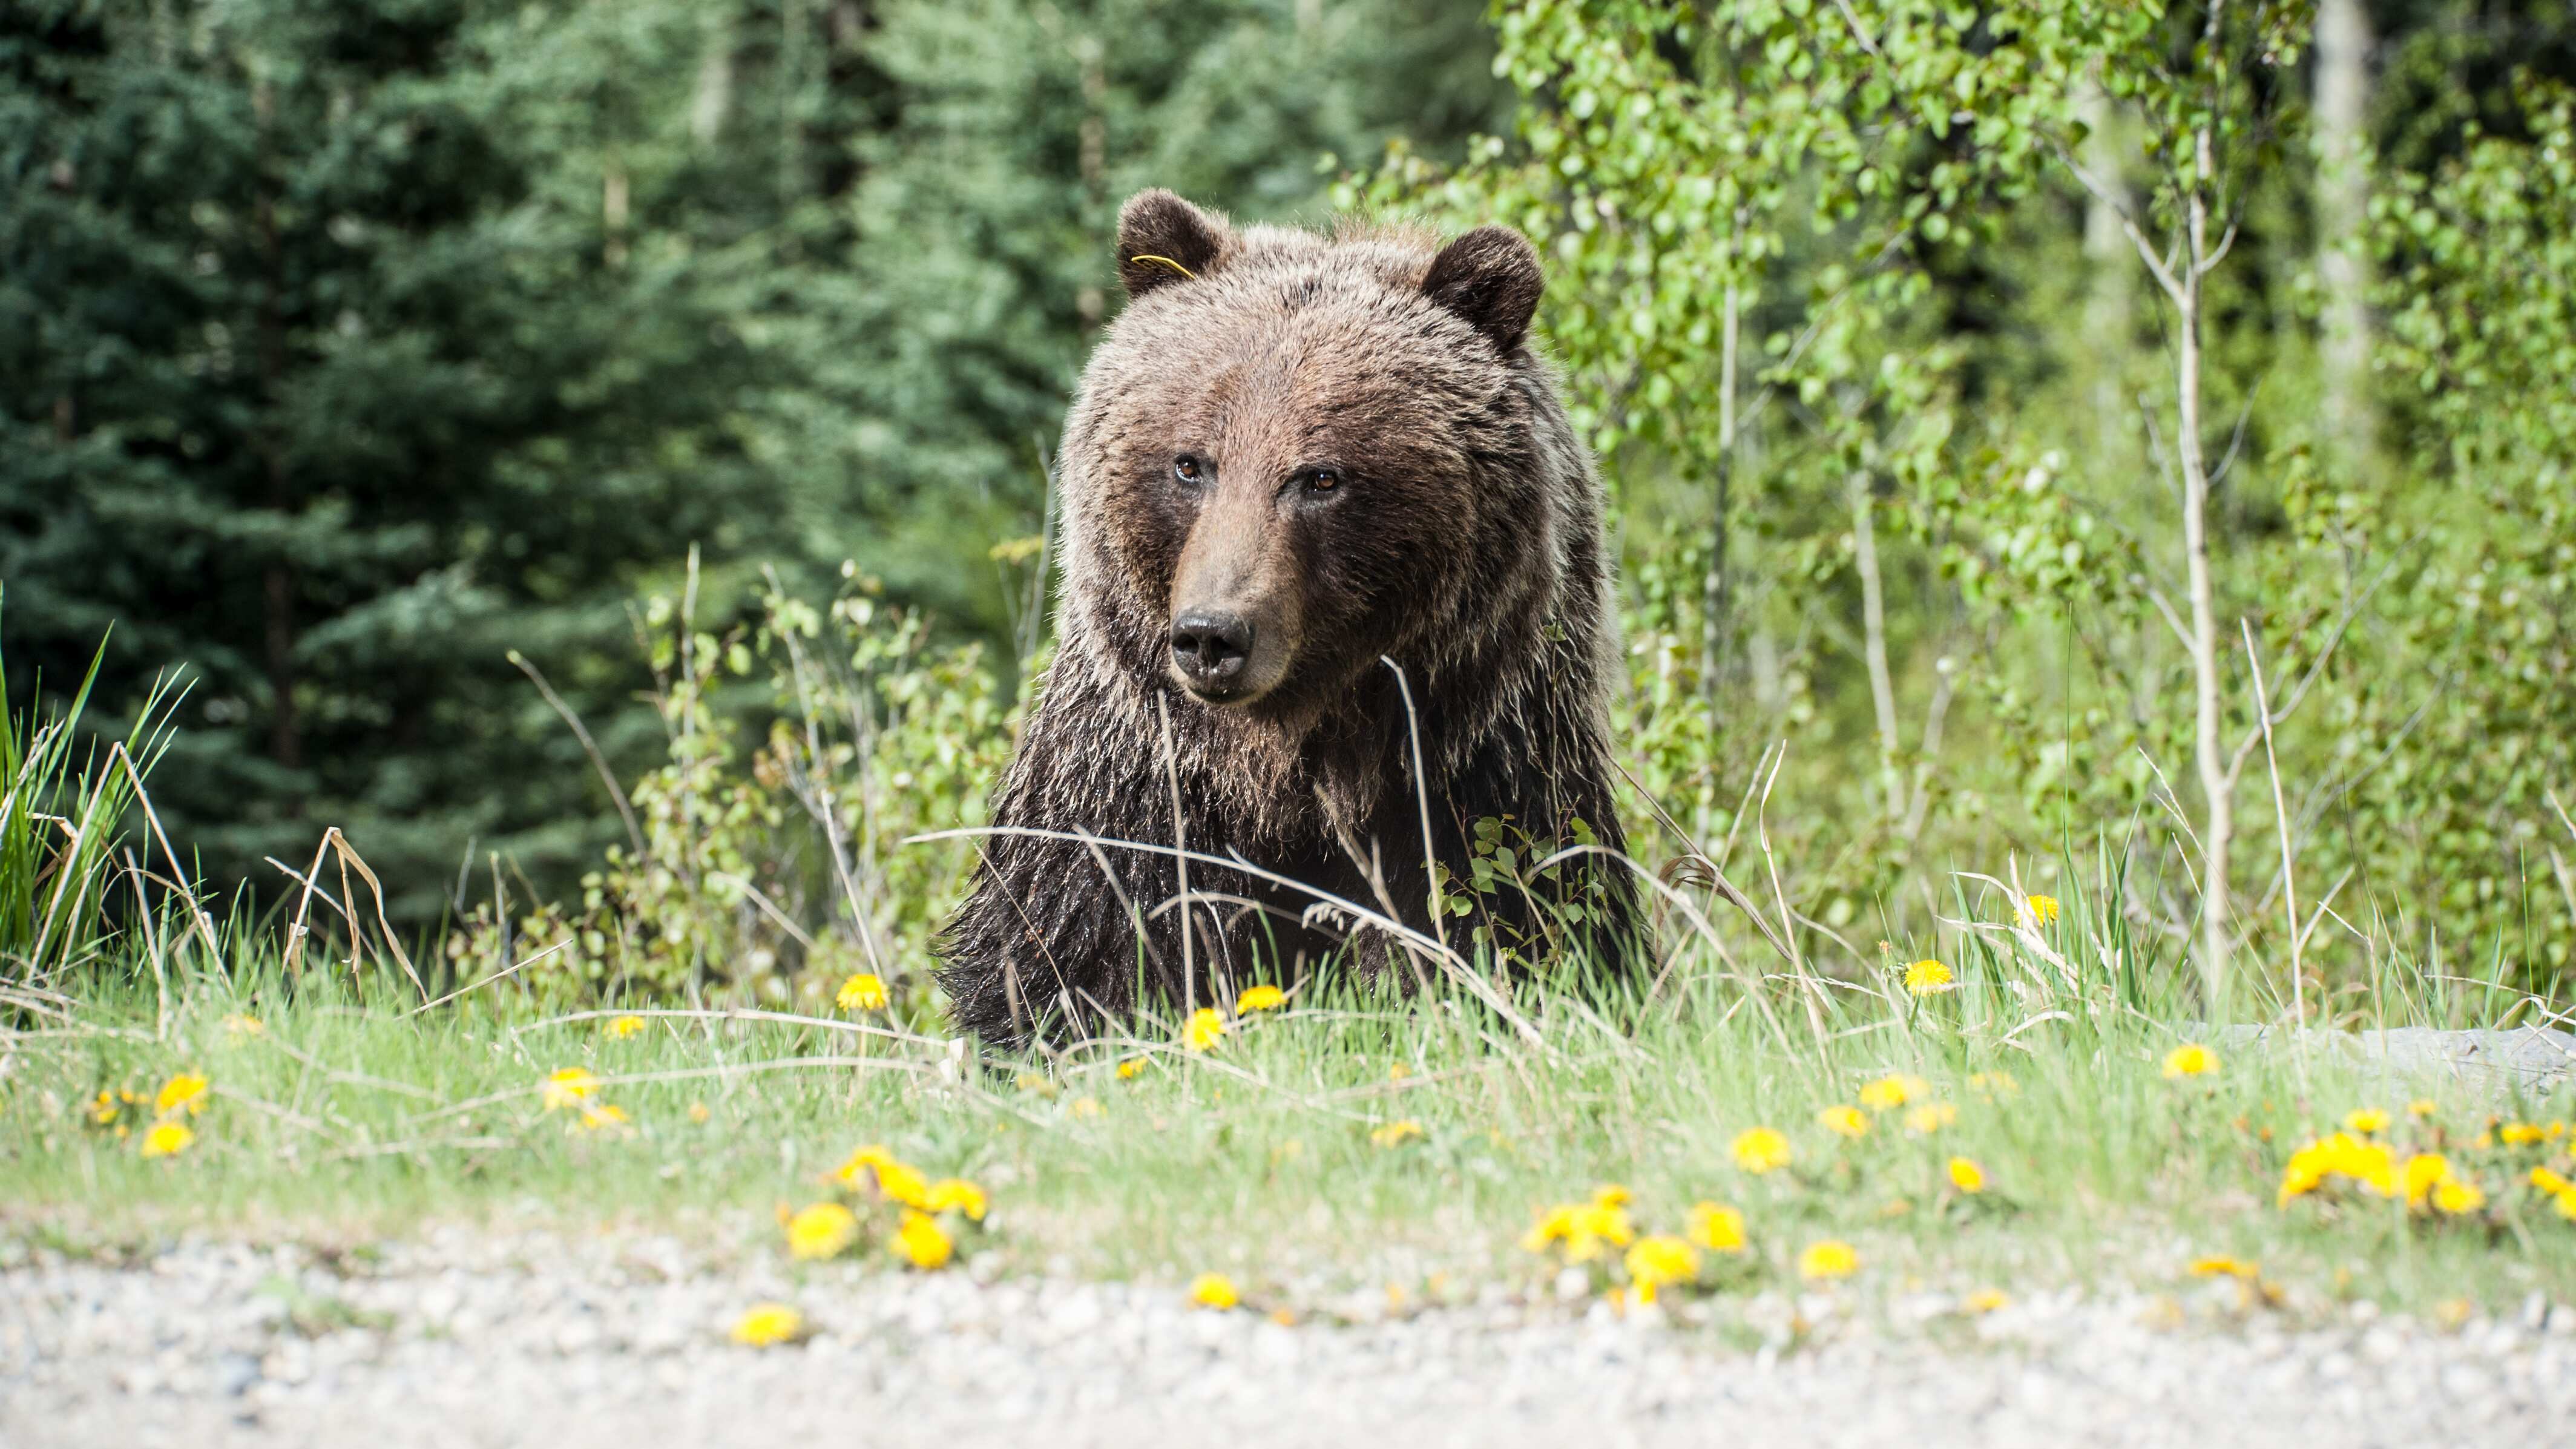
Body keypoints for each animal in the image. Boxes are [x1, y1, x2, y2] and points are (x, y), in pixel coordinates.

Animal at [936, 189, 1637, 1047]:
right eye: (1190, 464)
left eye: (1320, 477)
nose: (1212, 635)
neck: (1289, 767)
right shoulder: (1135, 789)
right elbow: (1075, 955)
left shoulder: (1477, 778)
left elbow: (1516, 925)